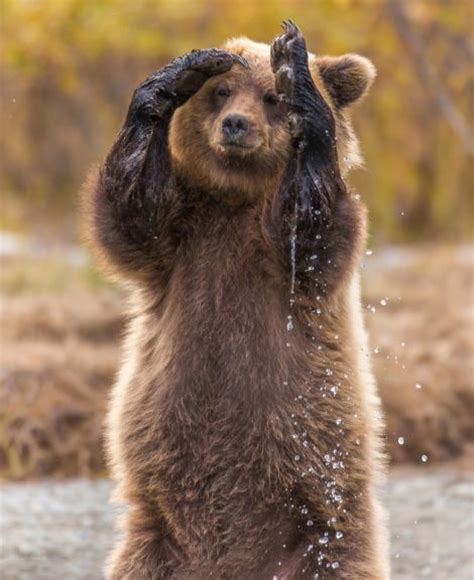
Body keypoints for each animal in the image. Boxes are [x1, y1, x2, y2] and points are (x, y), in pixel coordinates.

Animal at [85, 19, 388, 580]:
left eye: (271, 97)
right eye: (222, 92)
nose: (235, 125)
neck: (234, 196)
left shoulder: (289, 263)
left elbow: (309, 228)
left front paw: (299, 76)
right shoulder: (182, 240)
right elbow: (130, 212)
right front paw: (176, 76)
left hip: (323, 542)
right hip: (154, 543)